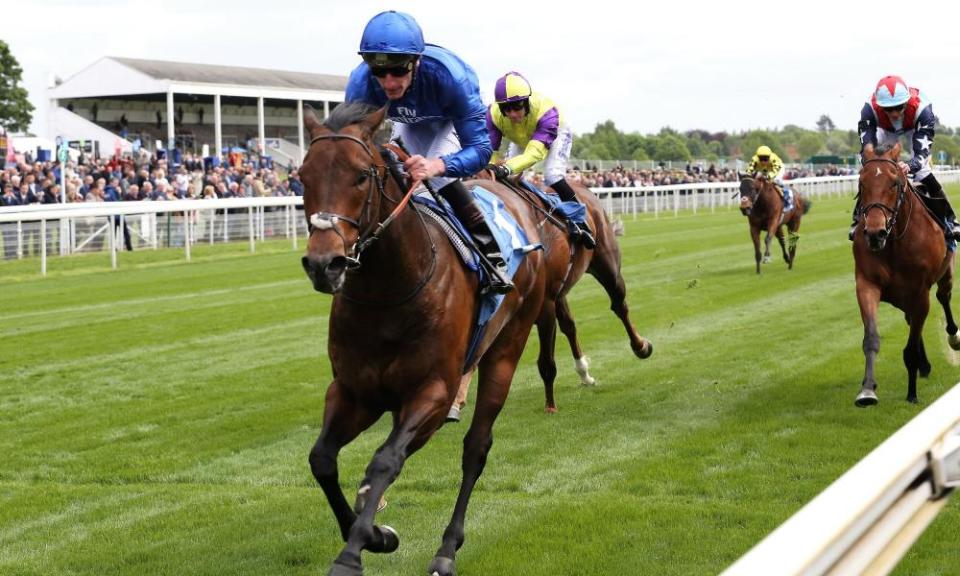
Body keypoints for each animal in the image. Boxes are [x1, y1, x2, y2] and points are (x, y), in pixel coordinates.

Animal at [304, 103, 552, 576]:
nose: (324, 264)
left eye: (361, 176)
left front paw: (352, 554)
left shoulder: (432, 391)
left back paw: (447, 549)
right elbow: (322, 459)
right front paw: (375, 534)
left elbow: (385, 460)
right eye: (302, 175)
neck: (389, 291)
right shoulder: (352, 391)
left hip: (507, 348)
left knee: (476, 448)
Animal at [852, 143, 956, 404]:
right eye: (861, 183)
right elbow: (871, 339)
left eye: (894, 183)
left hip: (945, 273)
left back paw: (953, 337)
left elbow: (909, 349)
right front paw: (867, 390)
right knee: (911, 320)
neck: (895, 241)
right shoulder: (867, 284)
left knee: (944, 297)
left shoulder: (920, 292)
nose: (875, 233)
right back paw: (925, 365)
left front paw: (911, 394)